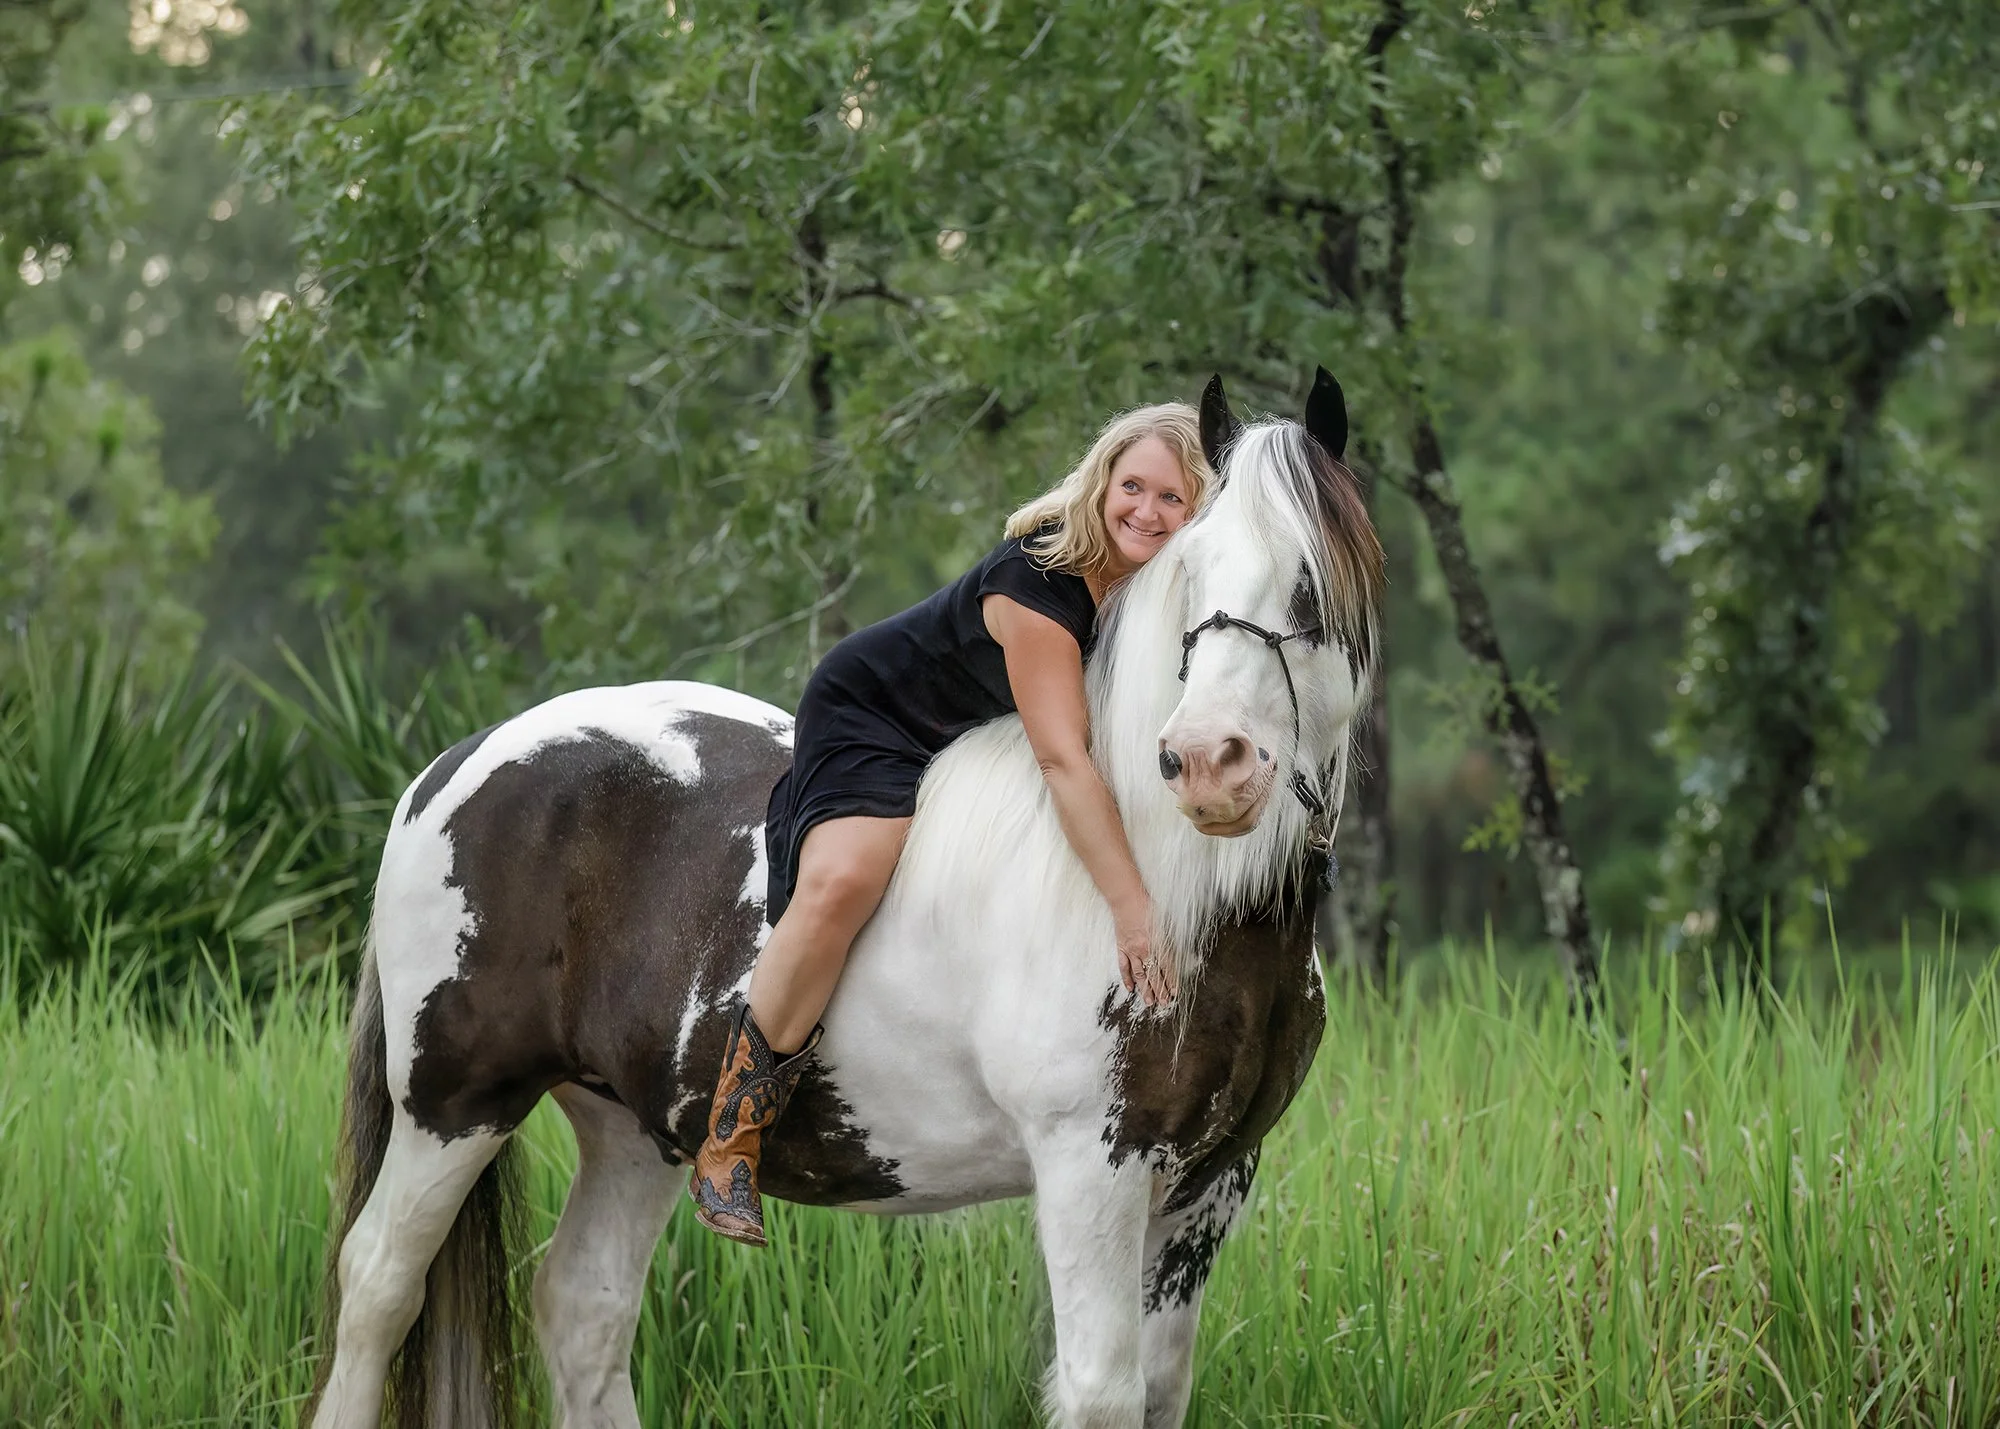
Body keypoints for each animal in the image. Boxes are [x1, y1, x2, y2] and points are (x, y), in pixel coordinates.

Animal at [307, 369, 1384, 1429]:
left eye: (1310, 579)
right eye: (1190, 569)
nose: (1207, 764)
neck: (1165, 889)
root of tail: (451, 768)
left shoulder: (1209, 1183)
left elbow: (1159, 1388)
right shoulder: (1092, 1167)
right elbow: (1100, 1391)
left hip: (629, 1127)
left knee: (583, 1310)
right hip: (454, 1104)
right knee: (378, 1288)